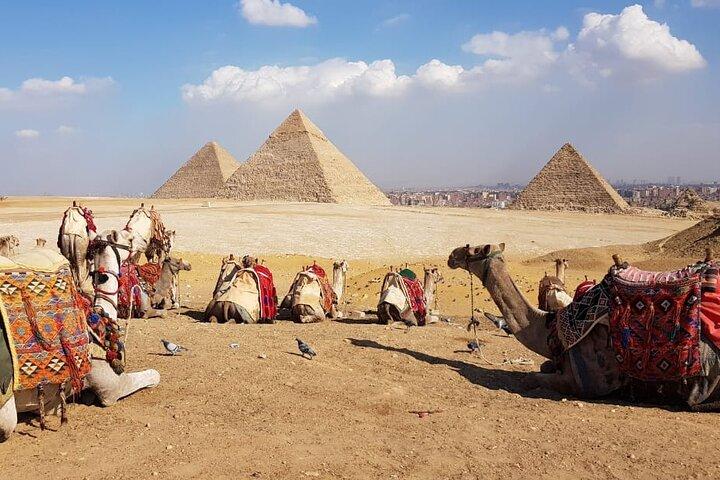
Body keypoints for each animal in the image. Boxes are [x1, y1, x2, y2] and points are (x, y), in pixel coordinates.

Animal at [447, 243, 720, 409]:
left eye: (473, 250)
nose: (452, 255)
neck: (552, 327)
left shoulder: (587, 383)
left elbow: (532, 377)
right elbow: (544, 366)